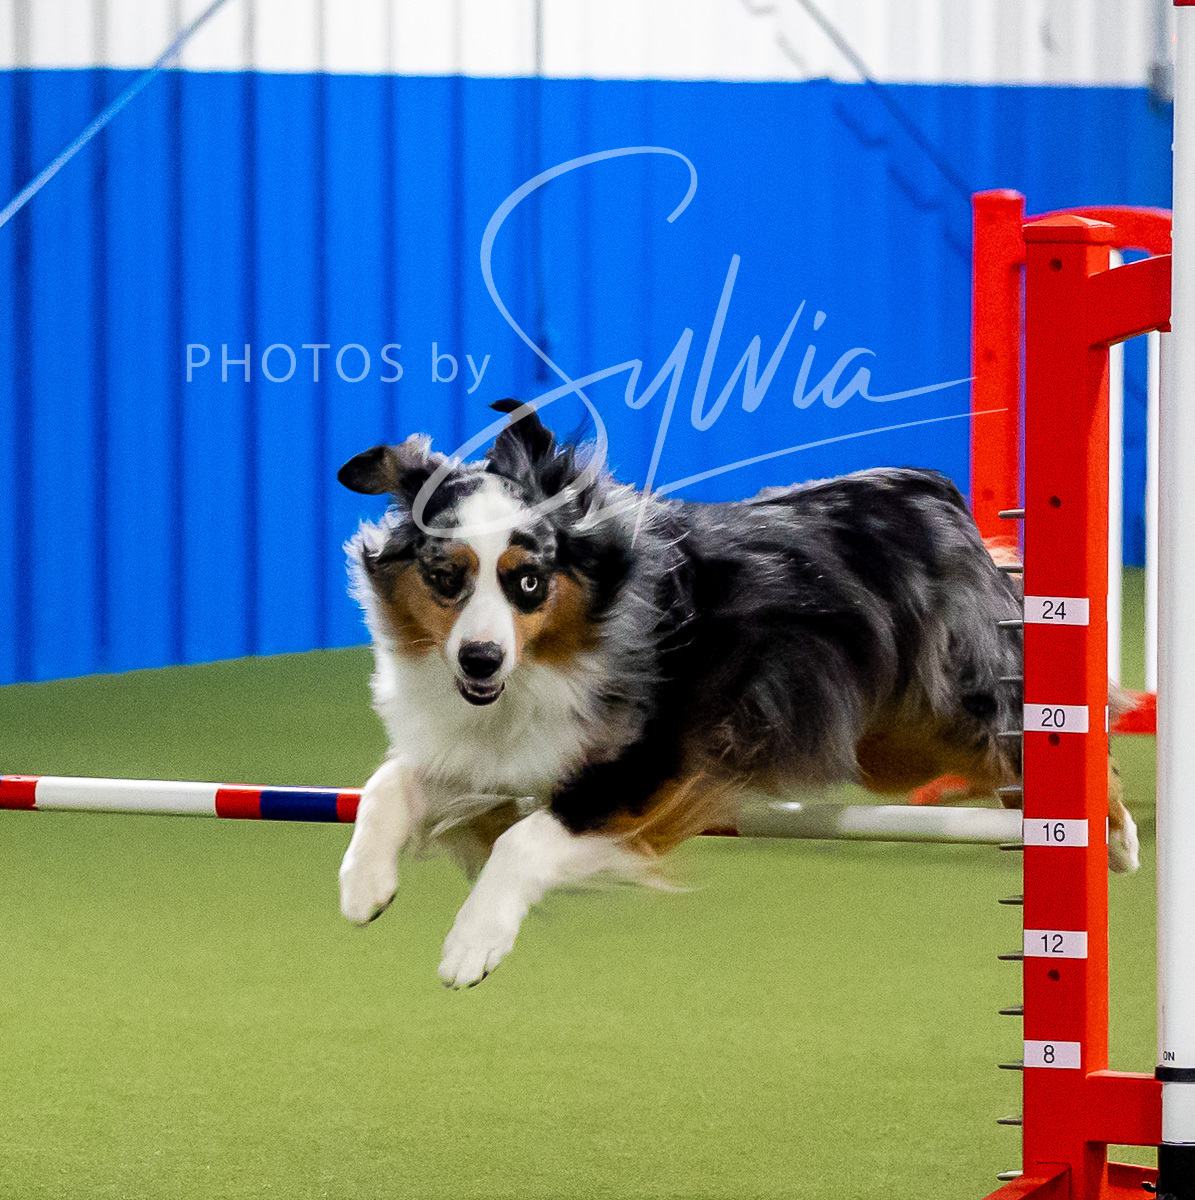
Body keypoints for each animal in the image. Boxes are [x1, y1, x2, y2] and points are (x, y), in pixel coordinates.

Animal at [337, 399, 1138, 988]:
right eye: (445, 577)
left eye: (527, 581)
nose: (479, 659)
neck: (553, 654)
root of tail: (933, 491)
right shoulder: (488, 749)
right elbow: (389, 782)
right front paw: (363, 882)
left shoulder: (653, 762)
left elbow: (523, 839)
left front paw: (472, 943)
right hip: (891, 746)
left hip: (963, 699)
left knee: (1052, 732)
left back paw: (1115, 838)